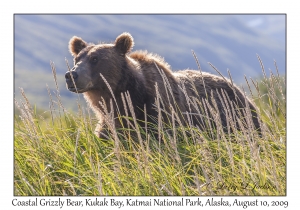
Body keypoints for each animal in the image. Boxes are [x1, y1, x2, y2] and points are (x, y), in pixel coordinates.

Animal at [65, 32, 260, 138]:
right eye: (77, 58)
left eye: (95, 59)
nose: (71, 75)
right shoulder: (110, 125)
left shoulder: (160, 114)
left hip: (239, 118)